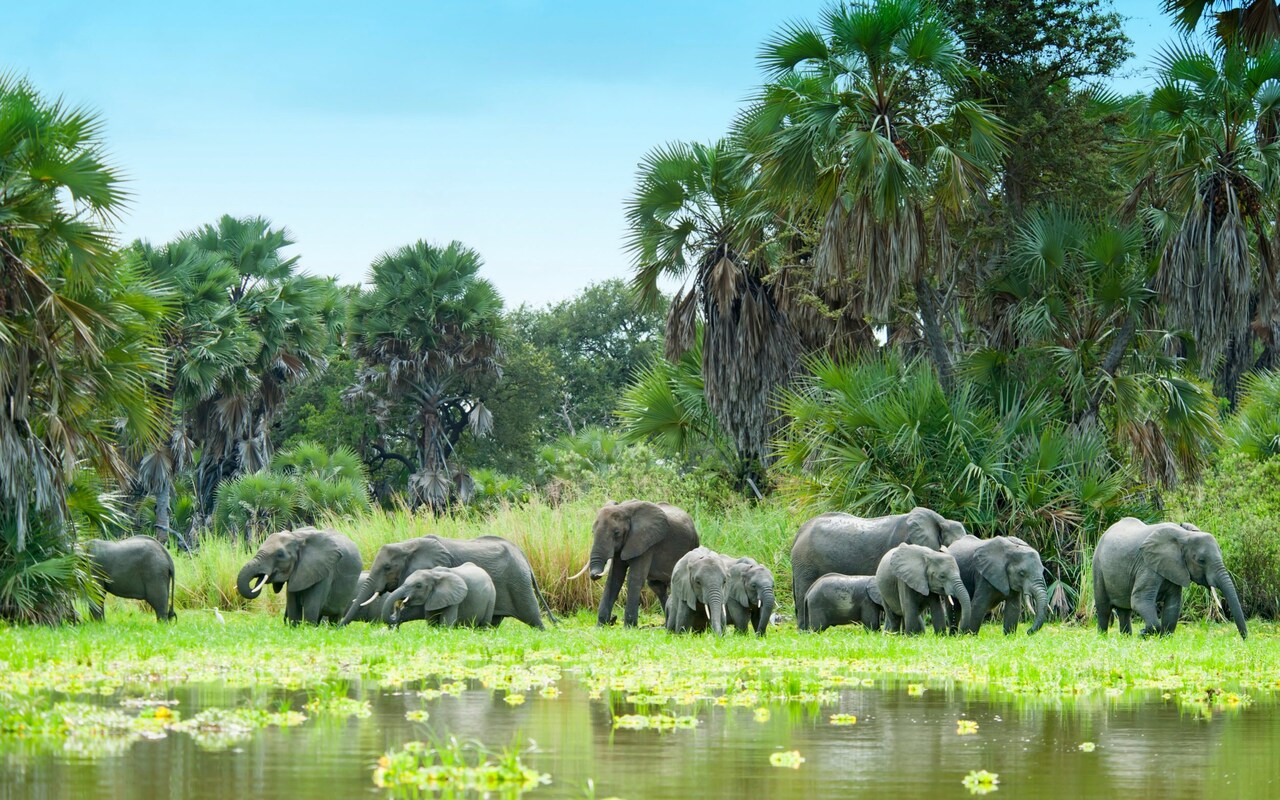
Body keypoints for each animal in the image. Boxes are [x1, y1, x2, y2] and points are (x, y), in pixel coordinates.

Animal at [337, 532, 552, 627]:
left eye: (387, 567)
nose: (338, 628)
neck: (408, 545)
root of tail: (522, 554)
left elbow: (420, 609)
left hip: (518, 582)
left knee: (532, 616)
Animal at [576, 499, 706, 624]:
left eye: (617, 533)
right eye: (593, 532)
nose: (614, 618)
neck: (624, 509)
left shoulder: (646, 543)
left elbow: (634, 578)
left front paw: (629, 628)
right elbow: (614, 579)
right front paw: (600, 626)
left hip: (692, 545)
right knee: (656, 586)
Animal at [1090, 514, 1249, 640]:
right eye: (1201, 561)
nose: (1244, 640)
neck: (1184, 535)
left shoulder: (1174, 567)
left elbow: (1173, 603)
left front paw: (1163, 639)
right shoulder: (1147, 565)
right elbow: (1139, 600)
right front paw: (1143, 633)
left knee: (1125, 611)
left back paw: (1126, 639)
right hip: (1097, 567)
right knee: (1104, 609)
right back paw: (1103, 638)